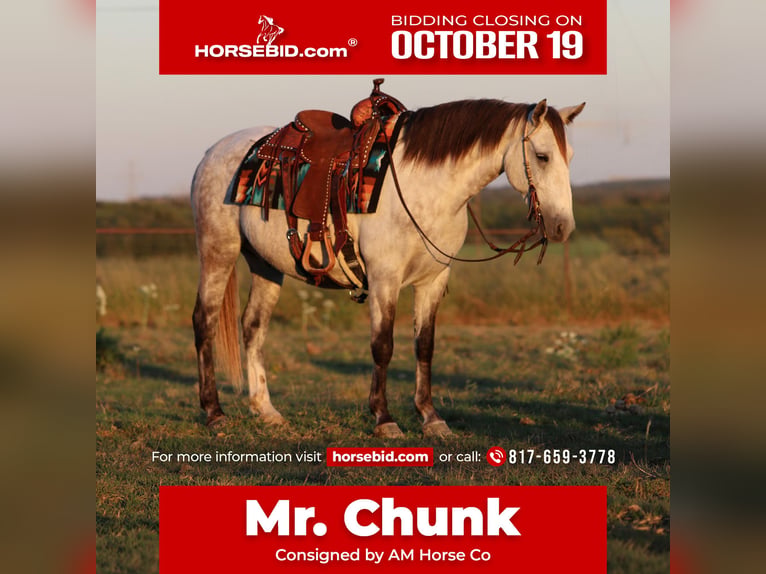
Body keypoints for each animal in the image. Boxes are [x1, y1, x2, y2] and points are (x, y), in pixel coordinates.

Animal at [191, 96, 585, 437]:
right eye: (542, 156)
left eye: (569, 156)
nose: (562, 227)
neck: (424, 187)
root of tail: (212, 152)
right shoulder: (384, 279)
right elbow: (383, 345)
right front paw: (384, 419)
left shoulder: (432, 280)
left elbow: (424, 345)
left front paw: (431, 418)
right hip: (218, 251)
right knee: (204, 321)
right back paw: (214, 412)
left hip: (266, 265)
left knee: (253, 327)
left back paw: (266, 410)